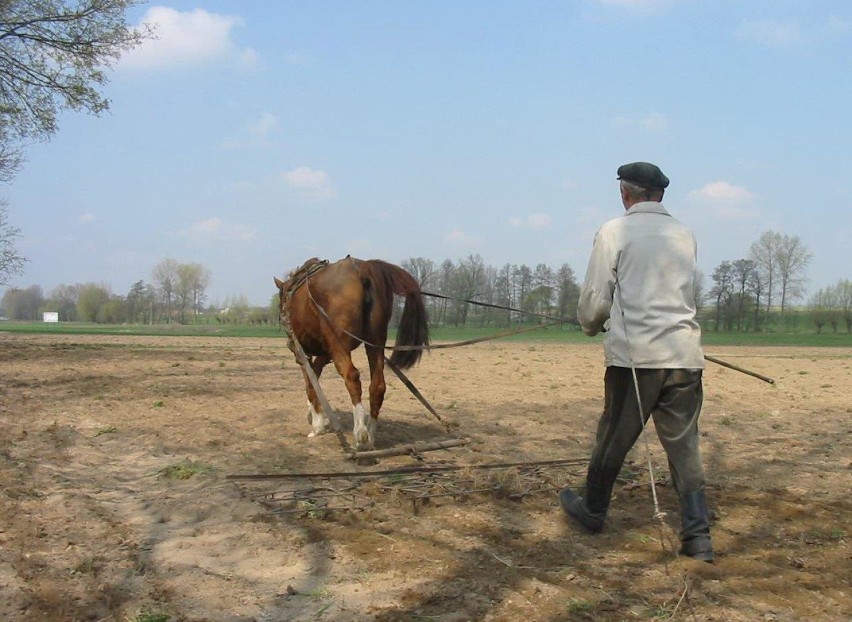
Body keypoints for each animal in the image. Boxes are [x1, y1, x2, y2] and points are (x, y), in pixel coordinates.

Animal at [274, 256, 430, 450]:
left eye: (281, 299)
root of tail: (363, 268)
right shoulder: (326, 353)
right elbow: (315, 377)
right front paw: (316, 416)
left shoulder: (303, 352)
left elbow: (310, 383)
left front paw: (317, 425)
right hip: (375, 343)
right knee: (378, 386)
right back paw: (370, 435)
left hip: (339, 345)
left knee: (352, 377)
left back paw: (360, 434)